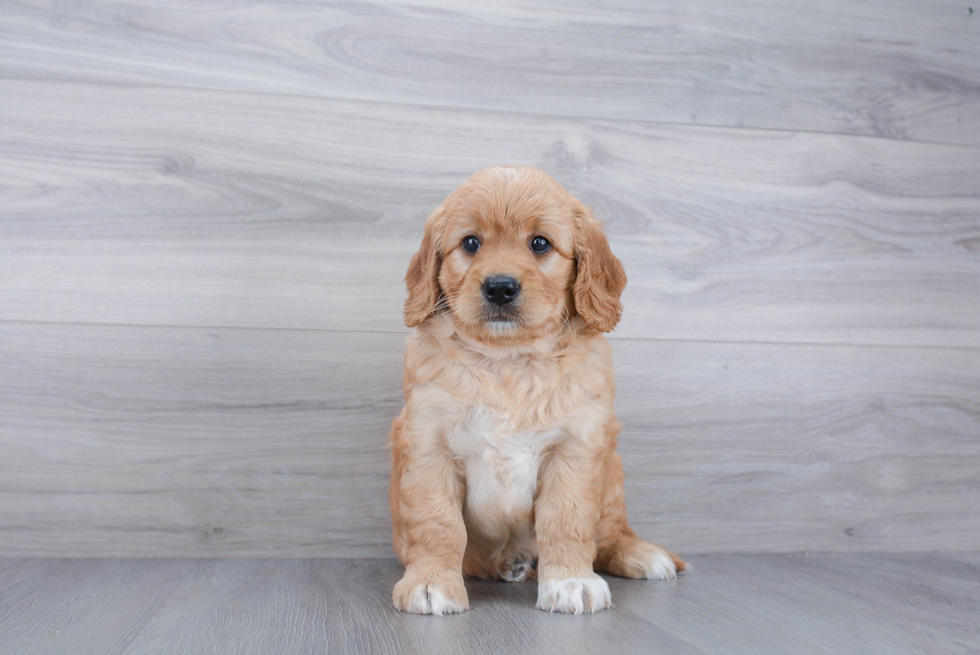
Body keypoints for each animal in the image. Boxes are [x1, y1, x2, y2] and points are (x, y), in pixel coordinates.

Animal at [386, 164, 684, 616]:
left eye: (540, 243)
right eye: (470, 243)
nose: (500, 286)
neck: (508, 360)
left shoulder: (577, 445)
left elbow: (567, 518)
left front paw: (571, 581)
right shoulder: (426, 442)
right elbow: (437, 521)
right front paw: (431, 582)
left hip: (612, 474)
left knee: (610, 532)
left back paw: (639, 553)